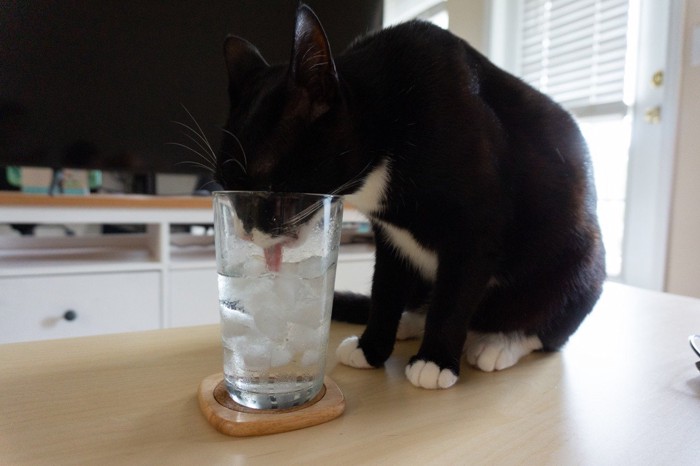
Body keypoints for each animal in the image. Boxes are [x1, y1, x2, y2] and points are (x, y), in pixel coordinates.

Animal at [216, 4, 604, 390]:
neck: (391, 121)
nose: (245, 230)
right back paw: (410, 322)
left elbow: (454, 295)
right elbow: (386, 288)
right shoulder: (390, 235)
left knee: (548, 328)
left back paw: (499, 343)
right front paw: (372, 347)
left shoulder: (478, 225)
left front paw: (436, 360)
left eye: (267, 182)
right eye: (225, 186)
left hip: (579, 261)